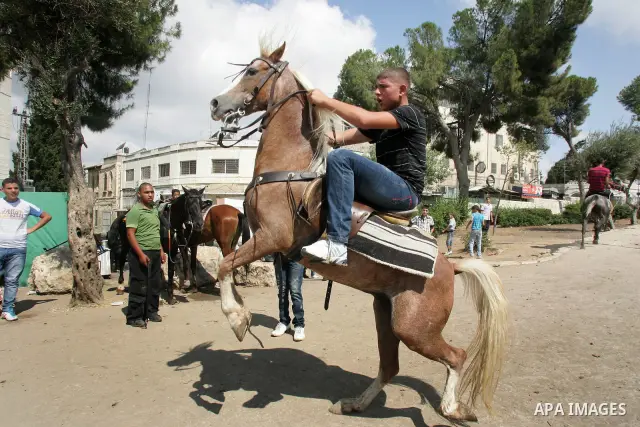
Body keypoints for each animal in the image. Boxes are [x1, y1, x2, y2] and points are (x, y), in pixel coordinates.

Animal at [207, 41, 509, 422]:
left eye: (252, 71)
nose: (216, 103)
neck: (290, 171)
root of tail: (450, 267)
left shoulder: (271, 238)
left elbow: (223, 265)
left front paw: (237, 319)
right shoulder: (263, 242)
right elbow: (227, 265)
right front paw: (242, 316)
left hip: (414, 328)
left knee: (456, 356)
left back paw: (451, 407)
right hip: (385, 314)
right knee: (390, 367)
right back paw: (354, 403)